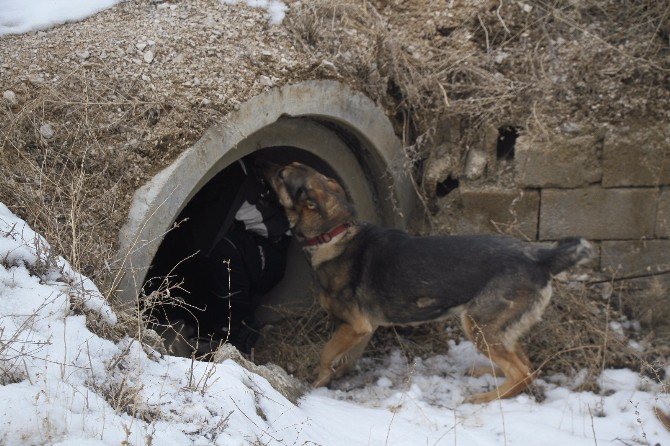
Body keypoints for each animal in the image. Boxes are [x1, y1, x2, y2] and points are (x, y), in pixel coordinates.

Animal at [260, 161, 596, 404]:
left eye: (281, 174)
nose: (263, 164)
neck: (333, 231)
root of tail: (540, 256)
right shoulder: (362, 329)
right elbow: (341, 357)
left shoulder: (356, 325)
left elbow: (326, 353)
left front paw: (315, 383)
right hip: (500, 328)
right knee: (526, 365)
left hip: (477, 324)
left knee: (523, 373)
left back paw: (483, 398)